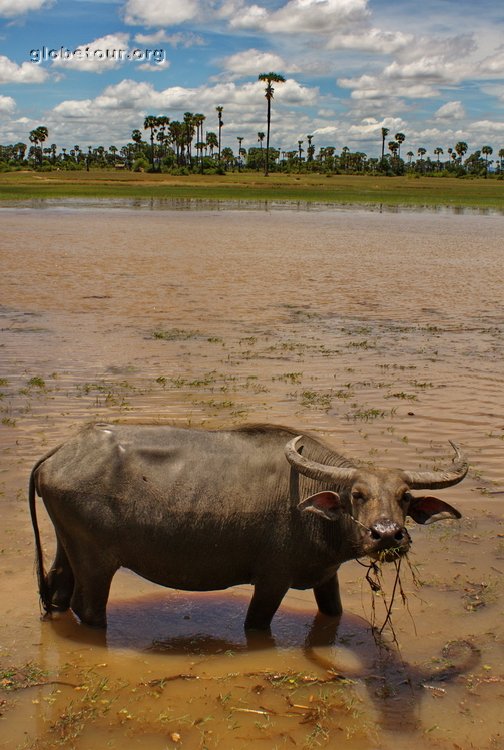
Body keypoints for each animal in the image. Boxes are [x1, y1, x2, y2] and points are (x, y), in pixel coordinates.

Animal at [29, 426, 466, 632]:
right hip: (97, 562)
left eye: (405, 497)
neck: (313, 509)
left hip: (68, 546)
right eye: (357, 494)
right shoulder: (271, 581)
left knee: (58, 590)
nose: (388, 534)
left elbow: (334, 612)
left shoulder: (326, 578)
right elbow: (256, 622)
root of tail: (63, 451)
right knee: (88, 607)